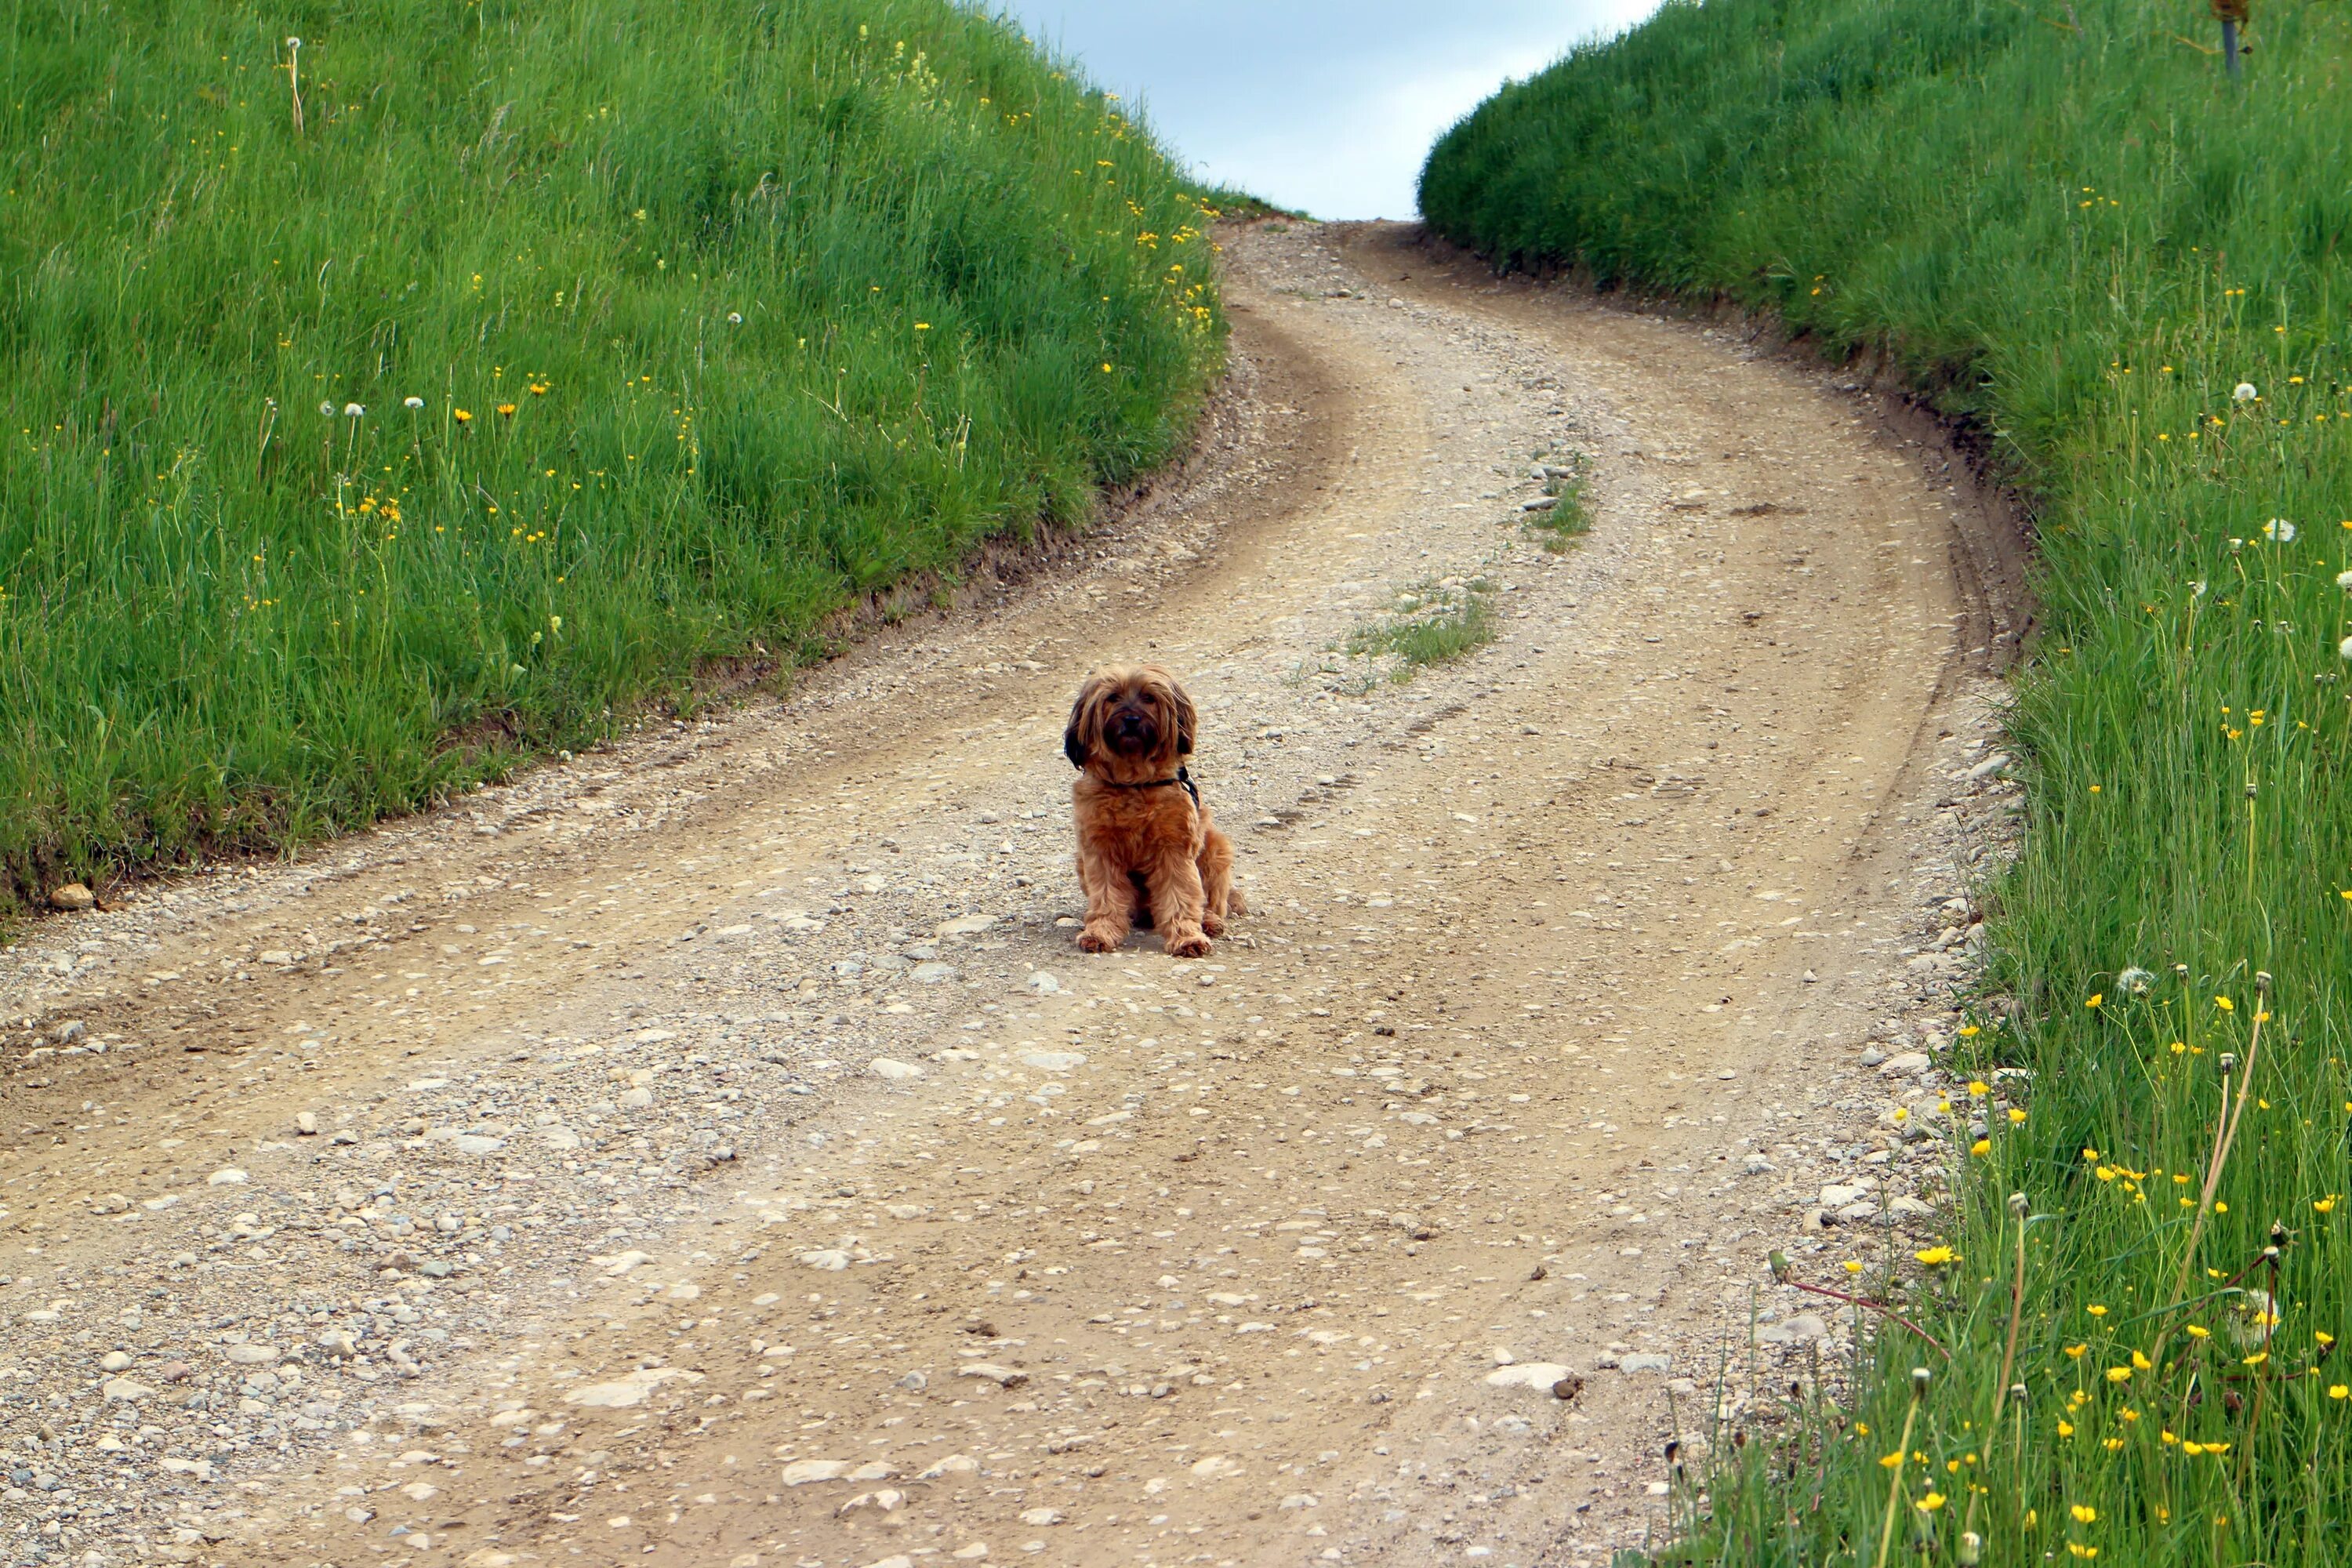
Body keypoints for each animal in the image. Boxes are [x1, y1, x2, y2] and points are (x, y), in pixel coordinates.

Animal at [1073, 667, 1251, 959]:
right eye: (1112, 697)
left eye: (1149, 697)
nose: (1132, 719)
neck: (1134, 783)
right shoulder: (1099, 851)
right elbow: (1106, 896)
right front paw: (1100, 932)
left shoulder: (1174, 849)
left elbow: (1181, 895)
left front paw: (1187, 938)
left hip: (1215, 849)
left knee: (1210, 900)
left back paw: (1209, 921)